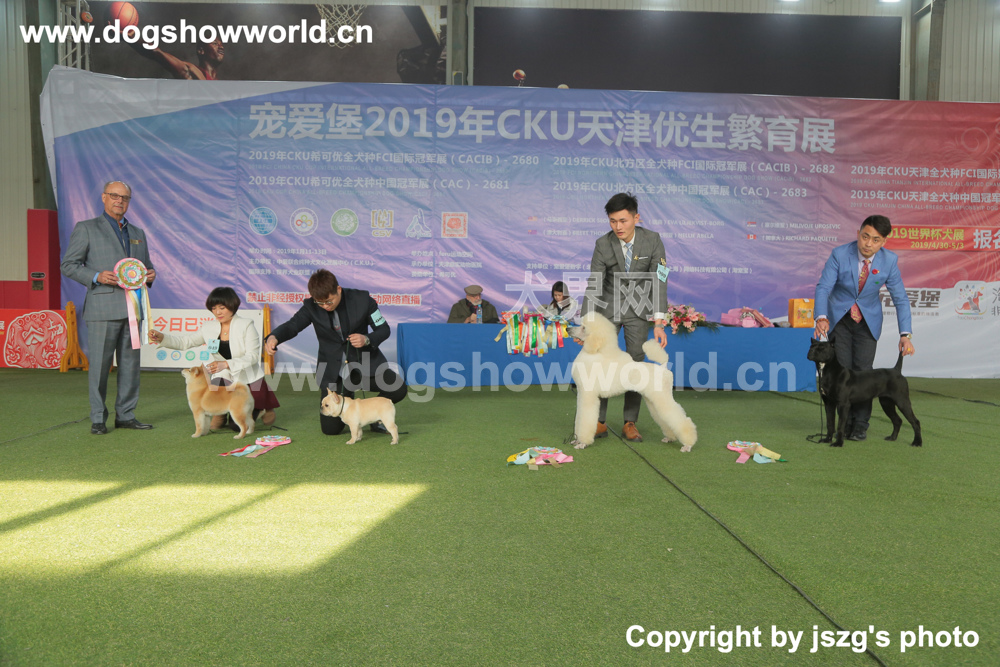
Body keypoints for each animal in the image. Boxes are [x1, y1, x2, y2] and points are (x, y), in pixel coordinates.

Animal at [568, 312, 697, 452]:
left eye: (584, 328)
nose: (568, 329)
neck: (595, 354)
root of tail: (664, 367)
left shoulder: (588, 395)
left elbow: (585, 419)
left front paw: (582, 443)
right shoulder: (582, 394)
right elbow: (579, 418)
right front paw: (576, 440)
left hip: (662, 396)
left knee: (678, 418)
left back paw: (688, 444)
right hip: (653, 399)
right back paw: (670, 438)